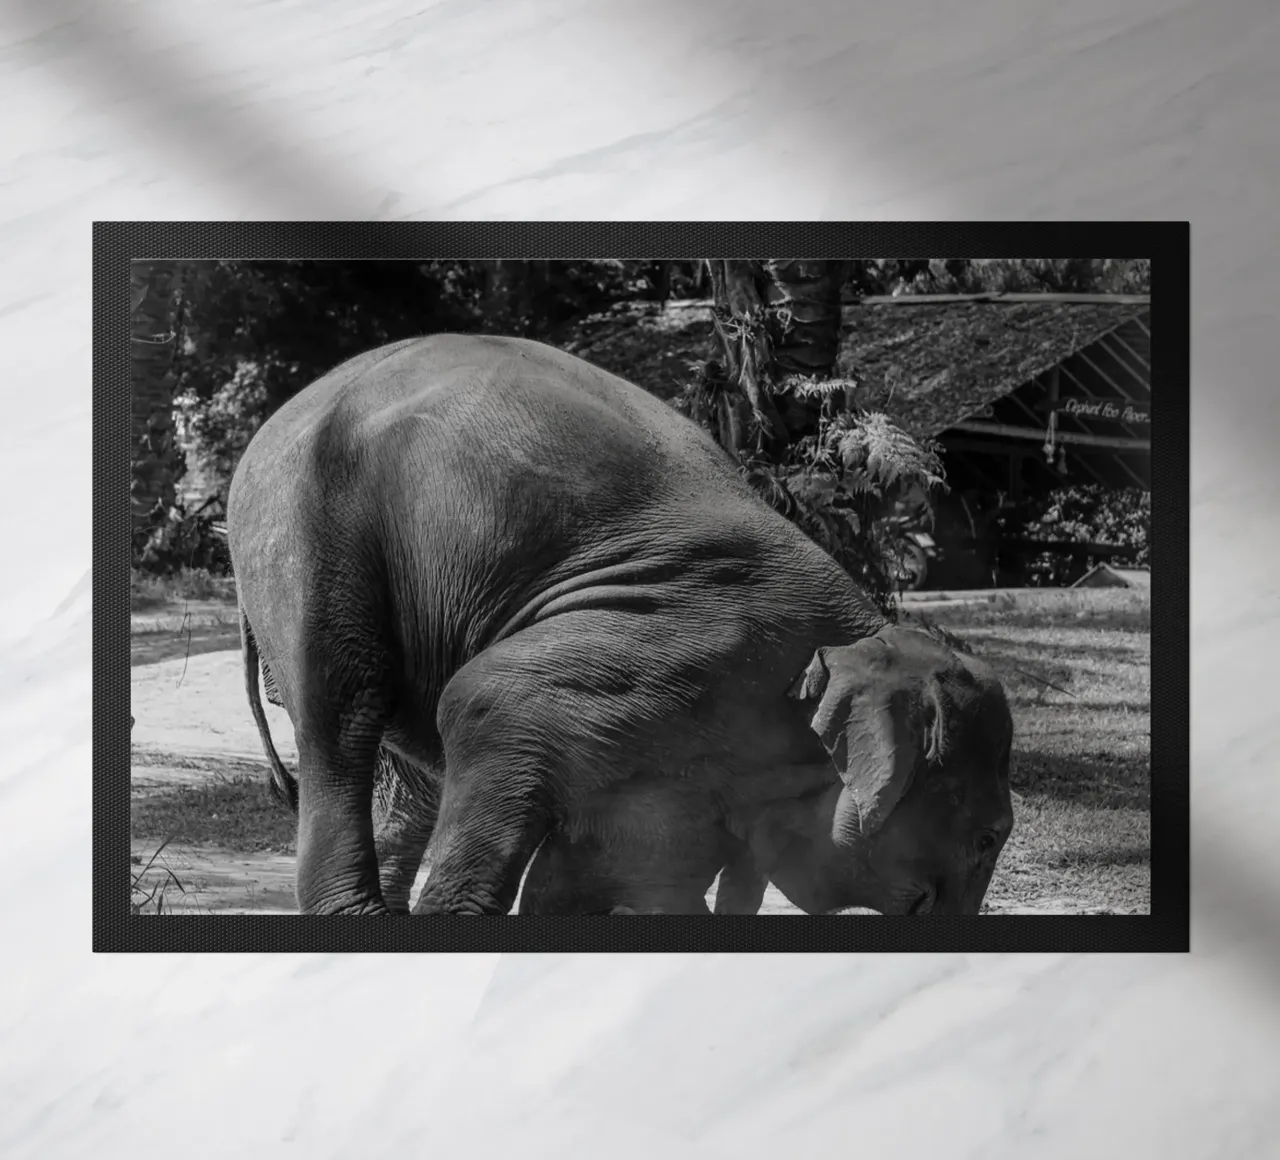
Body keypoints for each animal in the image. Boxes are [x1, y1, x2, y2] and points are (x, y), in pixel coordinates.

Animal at [229, 333, 1014, 916]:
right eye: (987, 838)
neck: (857, 635)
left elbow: (624, 865)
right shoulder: (668, 650)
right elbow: (484, 703)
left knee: (412, 774)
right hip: (306, 531)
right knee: (345, 709)